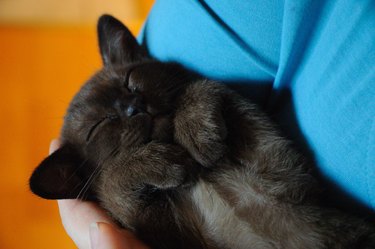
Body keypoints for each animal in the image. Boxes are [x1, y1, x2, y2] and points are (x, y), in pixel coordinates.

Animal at [30, 14, 375, 248]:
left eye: (129, 80)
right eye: (98, 126)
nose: (133, 107)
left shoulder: (284, 175)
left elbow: (201, 86)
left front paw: (198, 134)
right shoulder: (165, 231)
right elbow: (111, 179)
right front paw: (165, 161)